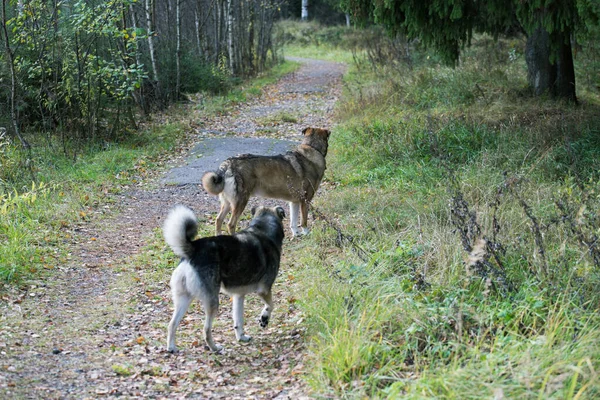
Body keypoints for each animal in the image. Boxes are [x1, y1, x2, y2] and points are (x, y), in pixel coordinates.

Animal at [164, 205, 286, 352]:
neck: (263, 227)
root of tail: (194, 249)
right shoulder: (264, 290)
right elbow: (270, 306)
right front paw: (264, 319)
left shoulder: (239, 296)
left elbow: (238, 321)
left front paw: (241, 337)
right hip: (212, 302)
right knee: (206, 330)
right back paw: (215, 348)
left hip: (184, 299)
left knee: (172, 324)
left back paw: (171, 347)